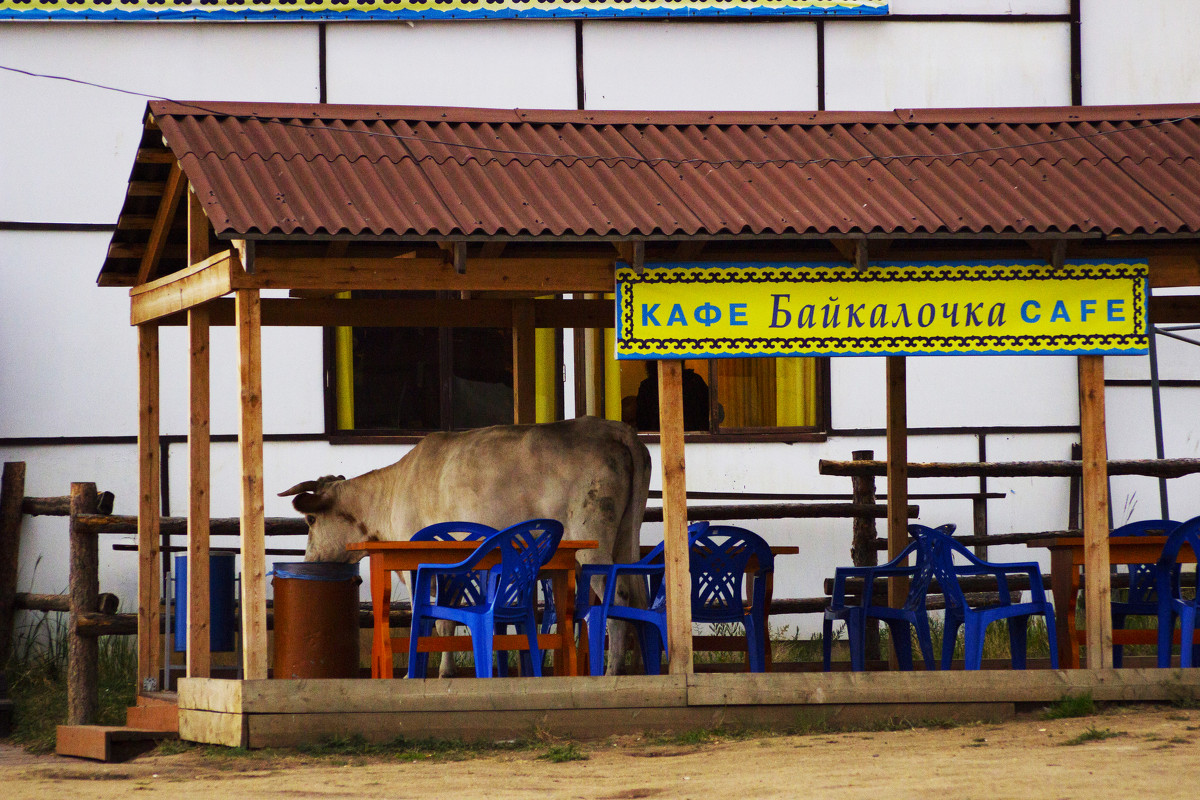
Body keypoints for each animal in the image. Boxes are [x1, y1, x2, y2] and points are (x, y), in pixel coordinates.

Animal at [277, 417, 652, 681]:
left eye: (310, 519)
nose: (311, 559)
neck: (390, 494)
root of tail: (616, 429)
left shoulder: (420, 562)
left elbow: (434, 620)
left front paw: (430, 672)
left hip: (592, 539)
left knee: (618, 595)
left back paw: (613, 670)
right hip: (625, 539)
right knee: (639, 597)